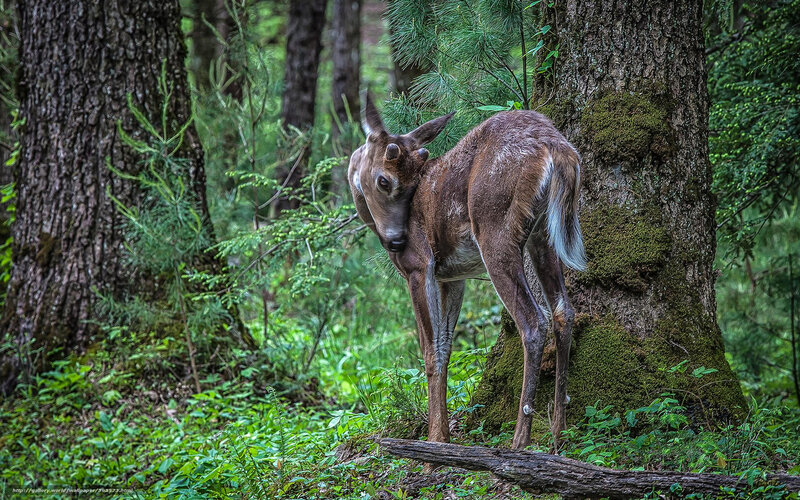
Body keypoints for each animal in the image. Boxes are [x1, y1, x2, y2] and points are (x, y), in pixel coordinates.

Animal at [347, 93, 585, 451]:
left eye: (385, 180)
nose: (398, 241)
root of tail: (555, 146)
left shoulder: (421, 267)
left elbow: (430, 351)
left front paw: (433, 444)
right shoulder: (453, 276)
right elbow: (446, 347)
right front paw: (444, 437)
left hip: (495, 228)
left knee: (533, 321)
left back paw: (519, 440)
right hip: (543, 235)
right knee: (563, 312)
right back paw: (558, 434)